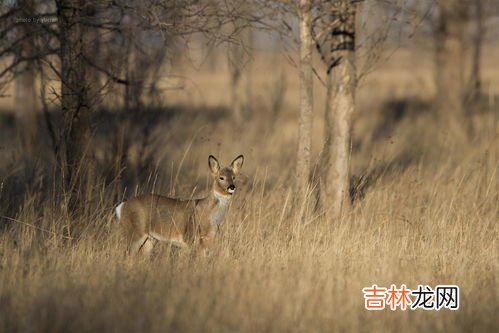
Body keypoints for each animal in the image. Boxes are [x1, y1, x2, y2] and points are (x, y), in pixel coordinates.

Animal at [115, 154, 244, 255]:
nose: (231, 187)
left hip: (149, 240)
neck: (211, 216)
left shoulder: (206, 242)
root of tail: (121, 207)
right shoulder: (191, 237)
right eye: (221, 177)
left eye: (234, 177)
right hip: (135, 232)